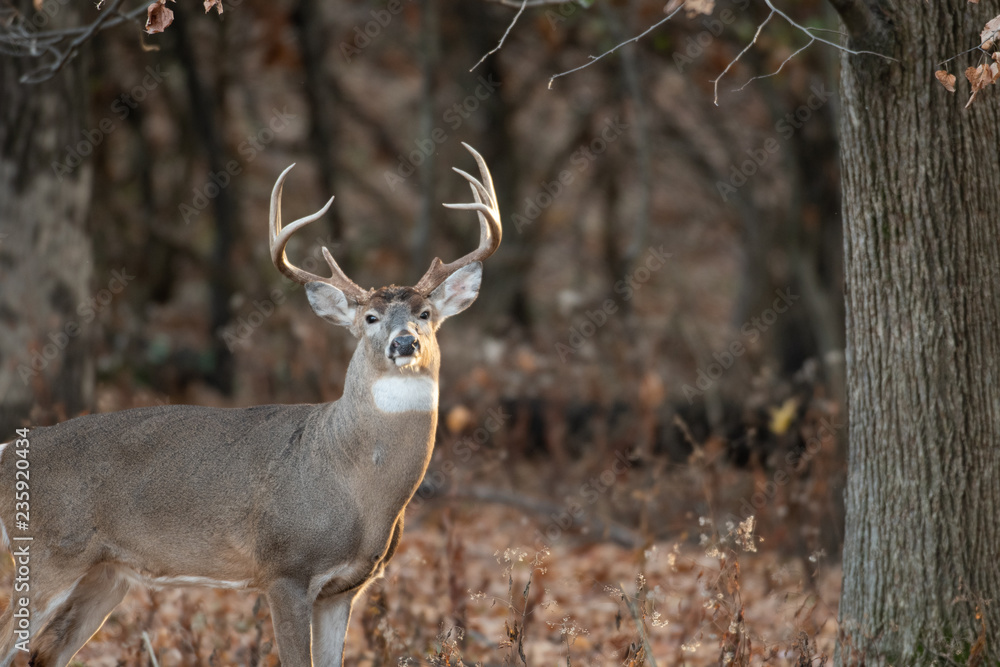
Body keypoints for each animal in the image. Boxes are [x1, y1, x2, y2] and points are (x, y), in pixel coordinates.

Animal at [0, 142, 501, 667]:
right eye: (369, 317)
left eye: (426, 313)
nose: (404, 342)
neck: (356, 483)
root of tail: (6, 451)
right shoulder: (284, 569)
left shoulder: (344, 588)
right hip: (46, 554)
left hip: (107, 573)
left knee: (47, 653)